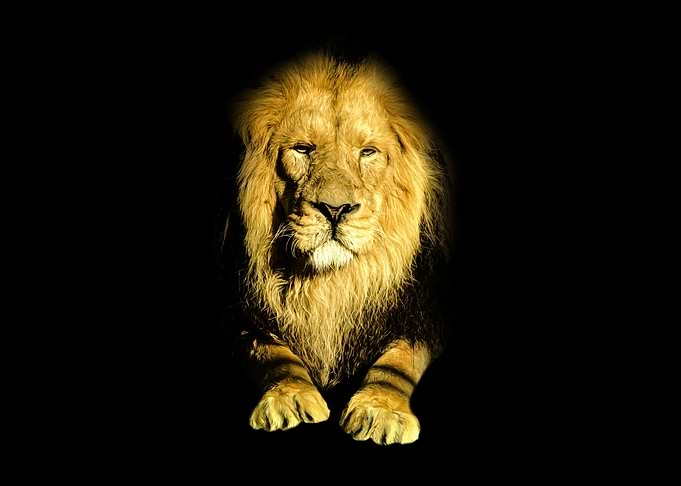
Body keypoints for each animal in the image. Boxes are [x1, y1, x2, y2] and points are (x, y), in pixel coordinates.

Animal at [221, 51, 451, 445]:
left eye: (368, 152)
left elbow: (399, 360)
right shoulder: (241, 312)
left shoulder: (425, 313)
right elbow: (269, 351)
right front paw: (290, 397)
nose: (334, 209)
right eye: (302, 149)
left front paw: (380, 410)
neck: (334, 283)